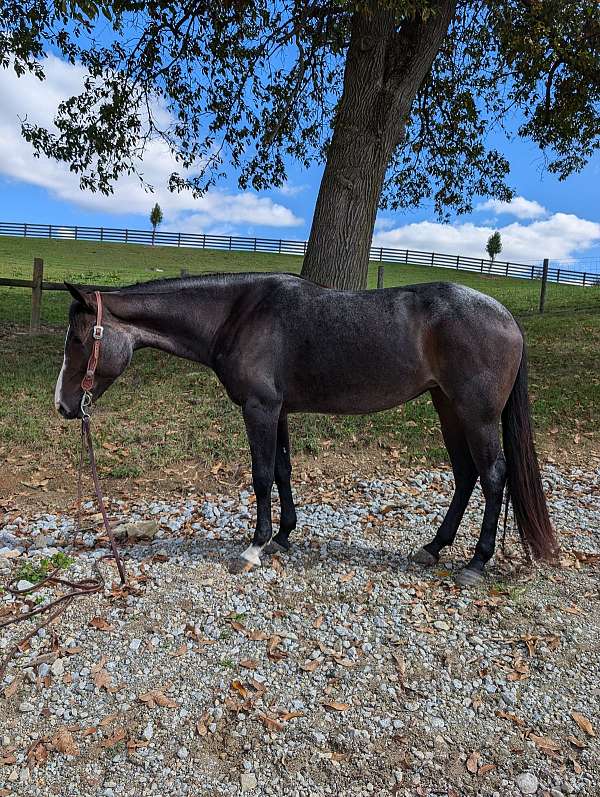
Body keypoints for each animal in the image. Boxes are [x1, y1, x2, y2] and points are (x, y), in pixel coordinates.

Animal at [56, 274, 556, 584]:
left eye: (79, 340)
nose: (63, 405)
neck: (237, 314)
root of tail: (507, 316)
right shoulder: (277, 411)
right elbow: (282, 471)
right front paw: (282, 536)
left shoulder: (259, 409)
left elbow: (260, 476)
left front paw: (253, 548)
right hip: (447, 407)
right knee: (466, 475)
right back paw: (433, 547)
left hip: (476, 415)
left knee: (493, 477)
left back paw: (476, 562)